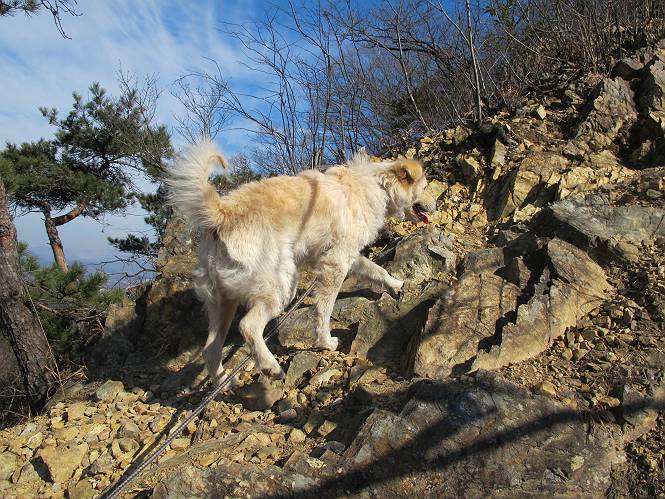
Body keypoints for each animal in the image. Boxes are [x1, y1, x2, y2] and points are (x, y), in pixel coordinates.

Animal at [165, 139, 435, 385]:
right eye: (424, 187)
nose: (434, 205)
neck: (378, 185)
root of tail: (223, 213)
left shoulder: (347, 254)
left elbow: (376, 269)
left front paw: (397, 285)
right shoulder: (336, 262)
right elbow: (324, 309)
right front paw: (325, 342)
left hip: (223, 302)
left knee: (210, 350)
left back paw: (225, 382)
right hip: (282, 286)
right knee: (248, 326)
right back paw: (271, 367)